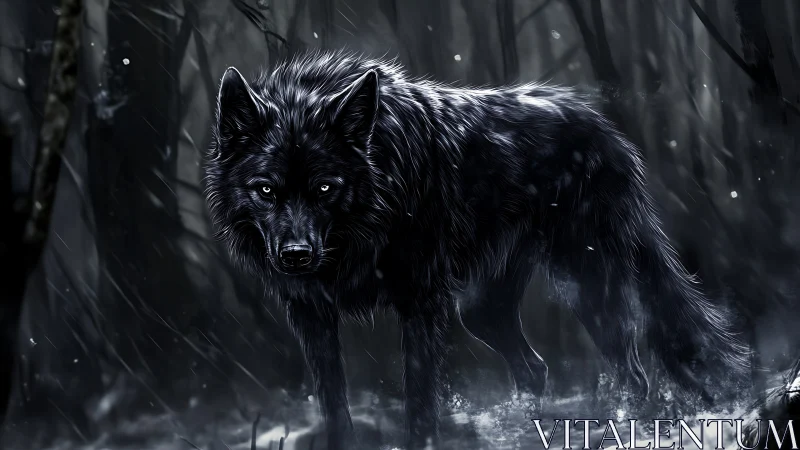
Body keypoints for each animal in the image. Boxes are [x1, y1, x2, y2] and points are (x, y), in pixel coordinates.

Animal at [204, 50, 750, 449]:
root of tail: (602, 124)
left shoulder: (421, 304)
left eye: (324, 188)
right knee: (535, 368)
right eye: (265, 190)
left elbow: (420, 401)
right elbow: (334, 406)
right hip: (480, 310)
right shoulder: (312, 315)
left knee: (633, 373)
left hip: (589, 286)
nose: (295, 256)